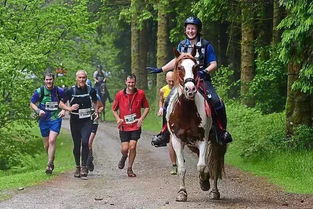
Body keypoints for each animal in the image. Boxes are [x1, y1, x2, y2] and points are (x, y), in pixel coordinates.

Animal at [167, 48, 225, 202]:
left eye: (196, 67)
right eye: (180, 67)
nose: (190, 89)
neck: (186, 111)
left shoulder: (203, 139)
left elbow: (202, 166)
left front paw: (204, 182)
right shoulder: (177, 140)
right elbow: (182, 168)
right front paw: (182, 193)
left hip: (216, 143)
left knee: (214, 164)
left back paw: (214, 191)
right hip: (192, 144)